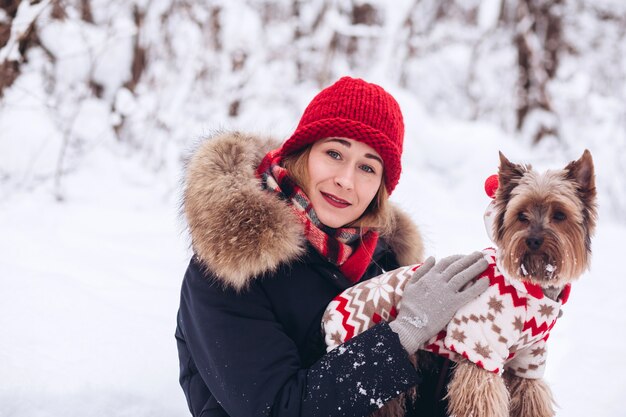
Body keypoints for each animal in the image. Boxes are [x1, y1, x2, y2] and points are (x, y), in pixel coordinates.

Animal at [322, 150, 596, 416]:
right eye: (521, 215)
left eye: (559, 214)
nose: (533, 240)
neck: (530, 287)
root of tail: (329, 313)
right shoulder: (481, 352)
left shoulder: (529, 359)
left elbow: (533, 400)